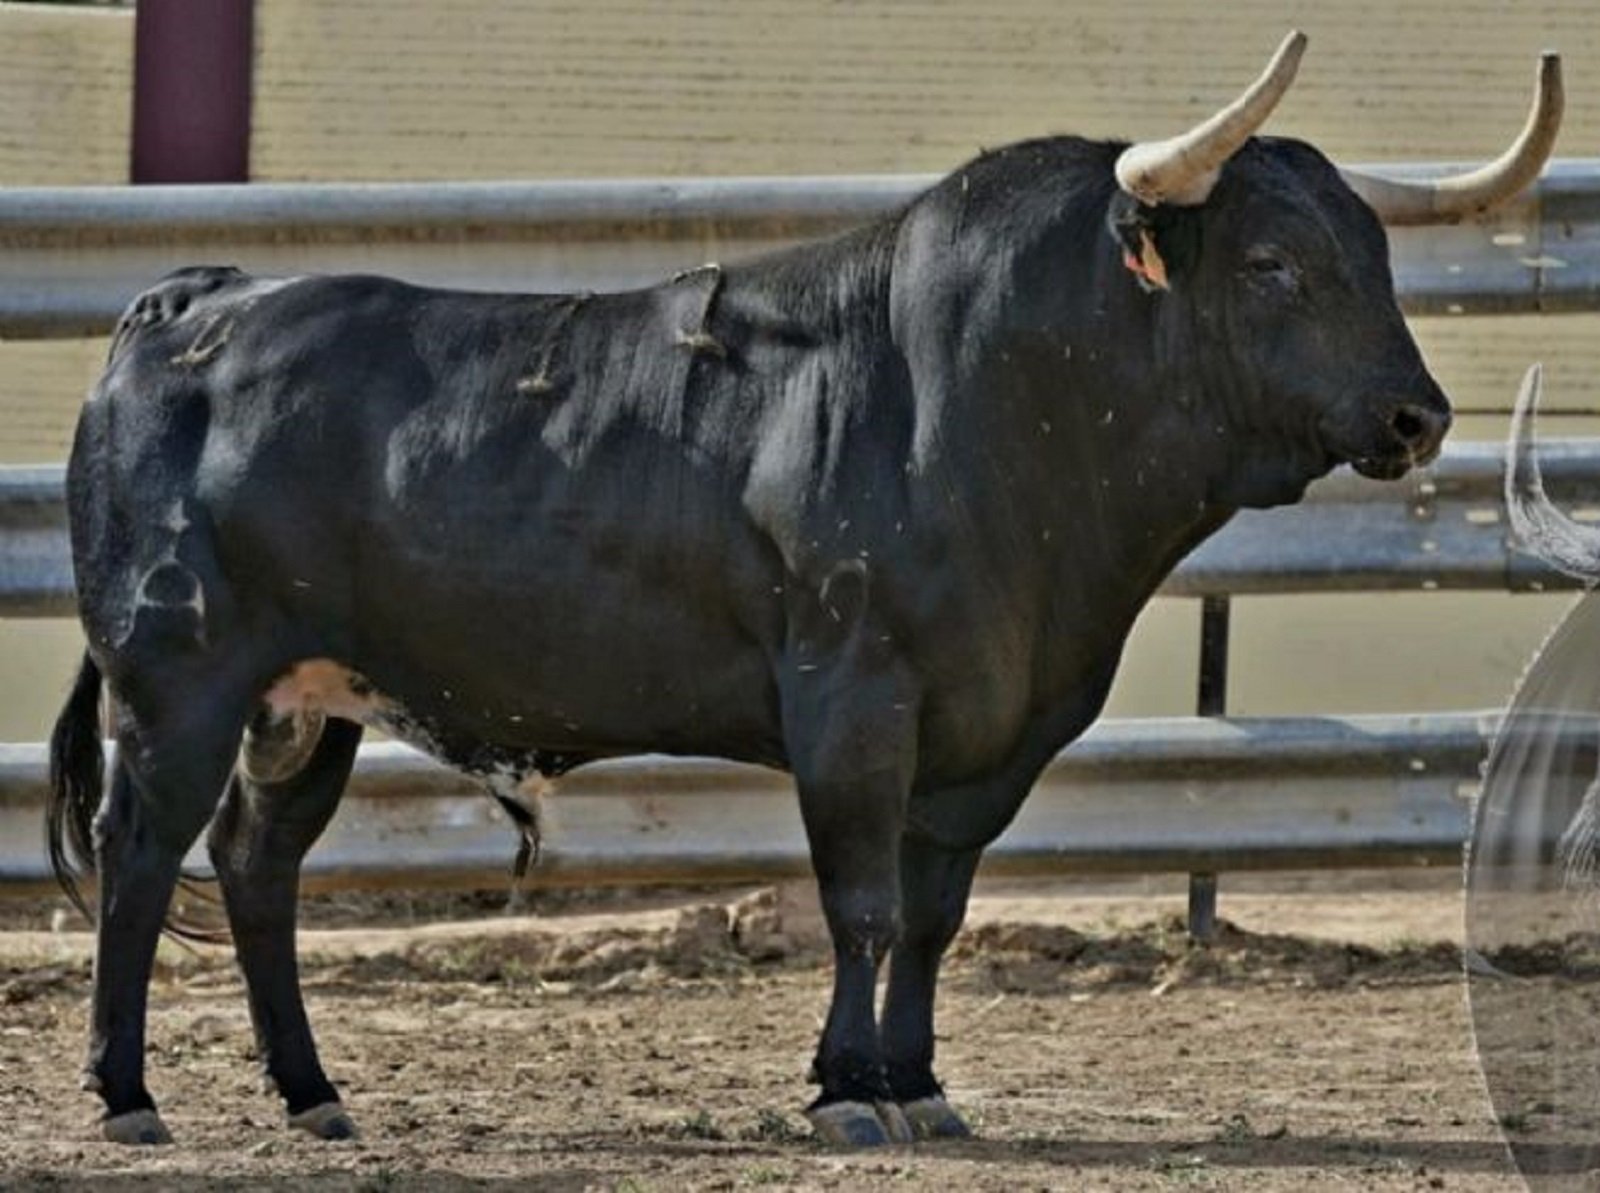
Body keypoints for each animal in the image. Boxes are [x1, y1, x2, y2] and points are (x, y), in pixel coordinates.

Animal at [43, 135, 1465, 1138]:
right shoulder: (855, 700)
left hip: (306, 699)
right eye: (1273, 263)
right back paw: (125, 1094)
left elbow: (932, 912)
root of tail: (198, 297)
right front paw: (847, 1089)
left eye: (1379, 258)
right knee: (143, 850)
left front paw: (919, 1081)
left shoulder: (988, 735)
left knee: (256, 860)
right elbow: (862, 904)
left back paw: (312, 1091)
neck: (992, 403)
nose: (1417, 414)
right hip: (177, 681)